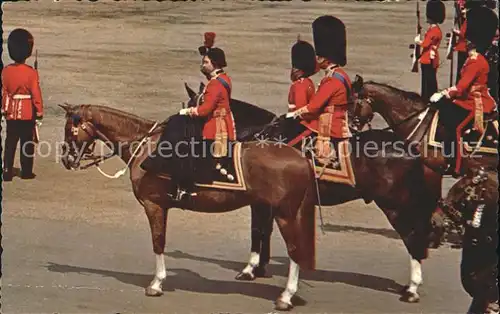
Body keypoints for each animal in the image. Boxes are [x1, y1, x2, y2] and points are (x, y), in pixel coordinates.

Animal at [57, 102, 316, 310]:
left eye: (69, 129)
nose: (66, 160)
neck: (147, 147)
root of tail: (301, 158)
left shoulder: (154, 205)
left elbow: (158, 242)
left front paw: (156, 283)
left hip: (285, 215)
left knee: (295, 251)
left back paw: (286, 296)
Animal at [184, 82, 446, 302]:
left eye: (190, 110)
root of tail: (410, 148)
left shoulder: (259, 202)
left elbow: (257, 231)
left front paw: (250, 269)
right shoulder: (268, 202)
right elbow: (264, 232)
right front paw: (260, 267)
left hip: (395, 206)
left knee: (412, 236)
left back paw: (412, 288)